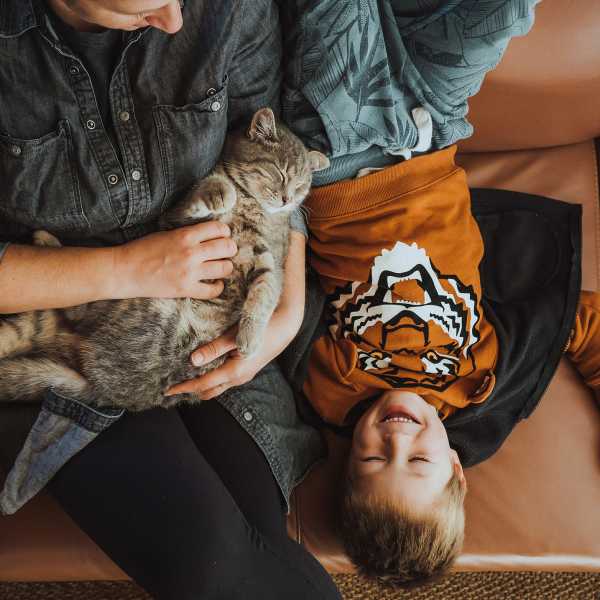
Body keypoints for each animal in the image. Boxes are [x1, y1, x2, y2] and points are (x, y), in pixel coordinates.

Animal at [0, 106, 328, 412]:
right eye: (281, 173)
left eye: (301, 187)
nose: (287, 199)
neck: (250, 204)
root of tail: (100, 390)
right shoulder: (175, 221)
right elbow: (207, 194)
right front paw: (222, 192)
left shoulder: (267, 255)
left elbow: (267, 290)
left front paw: (250, 337)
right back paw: (46, 240)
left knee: (73, 311)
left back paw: (45, 240)